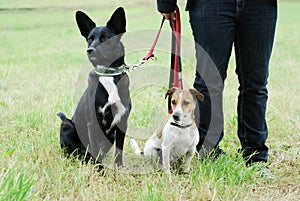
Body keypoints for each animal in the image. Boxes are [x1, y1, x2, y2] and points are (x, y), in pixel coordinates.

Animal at [56, 7, 131, 169]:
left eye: (105, 38)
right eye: (90, 39)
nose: (90, 50)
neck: (107, 75)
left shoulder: (122, 122)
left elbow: (119, 150)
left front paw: (119, 168)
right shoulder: (93, 123)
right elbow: (95, 150)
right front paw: (100, 170)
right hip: (66, 125)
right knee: (78, 153)